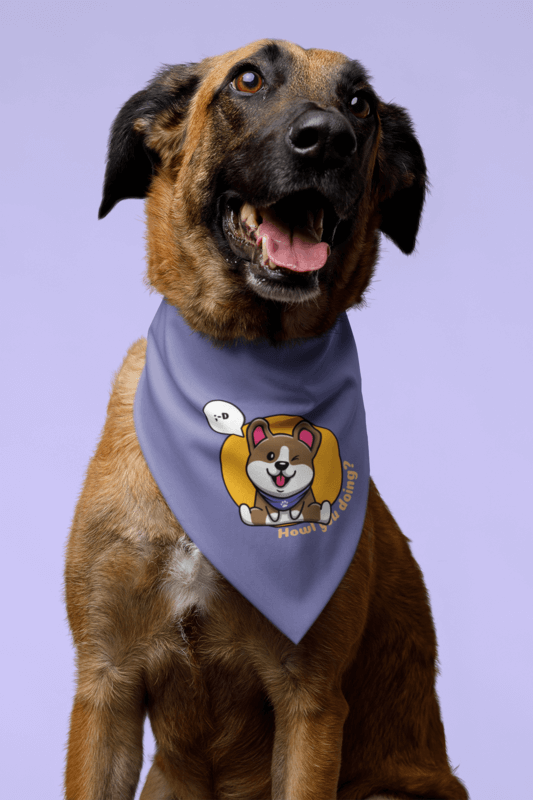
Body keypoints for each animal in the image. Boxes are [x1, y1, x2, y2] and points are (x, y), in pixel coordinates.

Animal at [64, 39, 468, 800]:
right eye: (247, 79)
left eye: (359, 103)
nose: (329, 139)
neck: (245, 365)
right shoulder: (105, 685)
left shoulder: (309, 699)